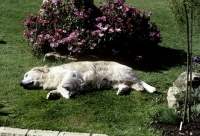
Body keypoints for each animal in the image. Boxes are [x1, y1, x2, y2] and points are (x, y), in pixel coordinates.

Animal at [19, 61, 156, 99]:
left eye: (26, 75)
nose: (20, 83)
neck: (49, 75)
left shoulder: (71, 75)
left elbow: (60, 86)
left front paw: (67, 94)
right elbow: (59, 88)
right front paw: (52, 94)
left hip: (123, 74)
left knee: (141, 81)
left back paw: (151, 89)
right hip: (114, 82)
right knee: (126, 86)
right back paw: (122, 90)